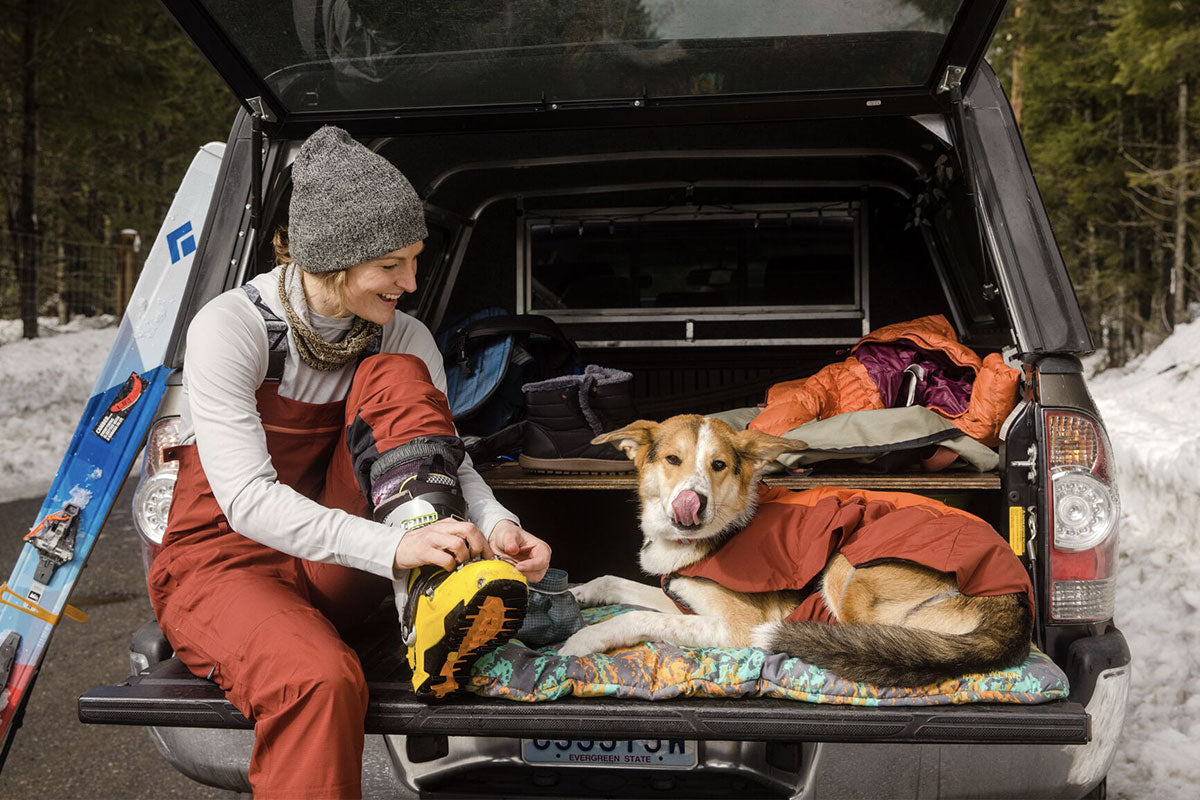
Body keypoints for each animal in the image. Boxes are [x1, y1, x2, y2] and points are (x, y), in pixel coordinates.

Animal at [556, 412, 1036, 690]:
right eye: (672, 460)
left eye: (718, 466)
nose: (692, 502)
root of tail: (1014, 602)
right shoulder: (681, 598)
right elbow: (616, 582)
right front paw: (576, 594)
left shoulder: (733, 628)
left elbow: (637, 618)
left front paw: (585, 638)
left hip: (845, 567)